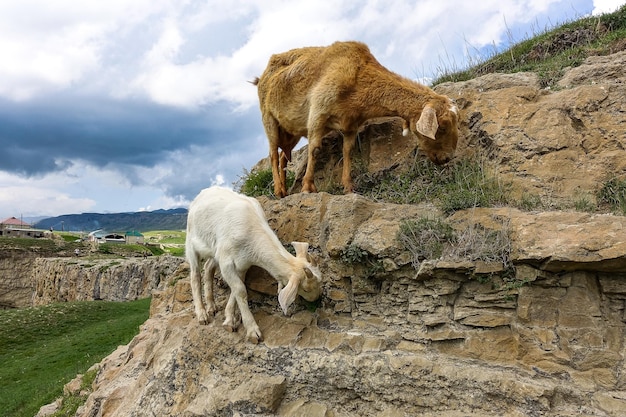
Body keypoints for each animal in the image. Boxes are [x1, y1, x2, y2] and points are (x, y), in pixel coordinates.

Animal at [184, 187, 322, 342]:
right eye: (305, 289)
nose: (317, 298)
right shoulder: (226, 261)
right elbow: (240, 290)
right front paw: (252, 331)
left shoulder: (242, 263)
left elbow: (237, 289)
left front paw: (229, 319)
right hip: (191, 242)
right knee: (195, 276)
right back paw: (202, 314)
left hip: (213, 249)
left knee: (208, 268)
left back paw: (211, 307)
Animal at [254, 41, 458, 197]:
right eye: (442, 127)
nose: (446, 158)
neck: (359, 77)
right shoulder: (318, 114)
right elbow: (315, 149)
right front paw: (307, 187)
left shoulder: (351, 125)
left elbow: (348, 151)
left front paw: (348, 187)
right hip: (269, 119)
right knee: (273, 154)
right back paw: (278, 190)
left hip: (291, 130)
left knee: (283, 156)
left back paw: (285, 190)